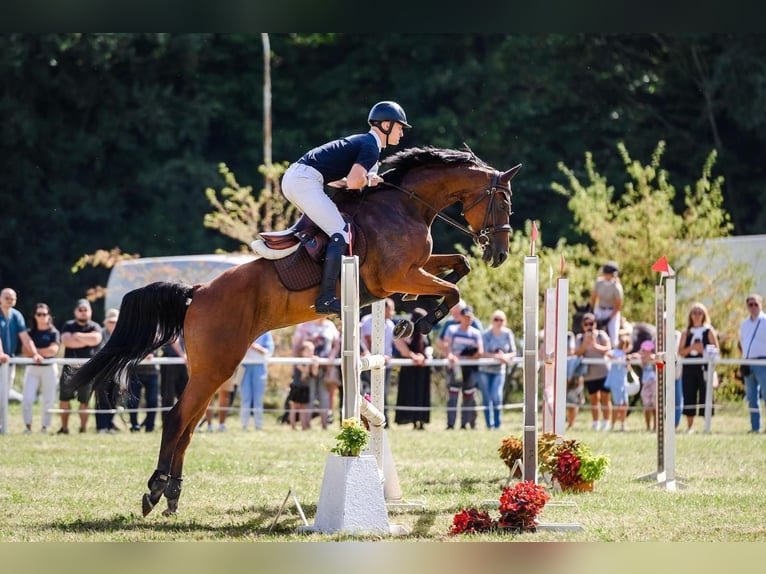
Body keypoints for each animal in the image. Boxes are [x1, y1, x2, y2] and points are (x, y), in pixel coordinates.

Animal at [69, 145, 520, 516]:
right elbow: (453, 288)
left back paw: (173, 493)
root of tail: (197, 293)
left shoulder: (413, 269)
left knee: (190, 424)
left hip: (214, 369)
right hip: (216, 365)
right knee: (177, 418)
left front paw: (413, 313)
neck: (406, 205)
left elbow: (458, 266)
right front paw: (417, 321)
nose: (500, 255)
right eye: (503, 201)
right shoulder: (398, 274)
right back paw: (155, 490)